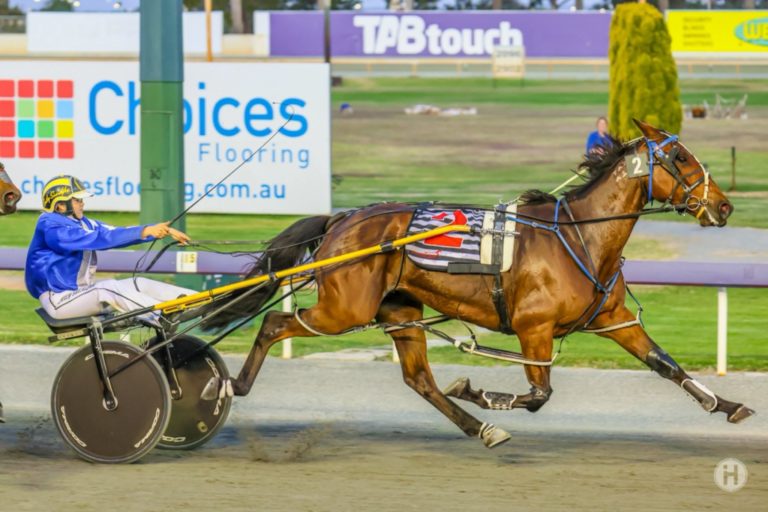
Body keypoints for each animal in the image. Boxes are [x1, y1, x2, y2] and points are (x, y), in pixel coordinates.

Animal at [200, 120, 753, 448]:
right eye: (681, 157)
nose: (724, 206)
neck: (581, 236)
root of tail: (342, 219)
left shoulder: (611, 318)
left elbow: (665, 363)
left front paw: (726, 405)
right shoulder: (534, 327)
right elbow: (539, 394)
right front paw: (478, 390)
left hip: (400, 311)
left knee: (419, 379)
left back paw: (481, 428)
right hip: (345, 310)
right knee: (276, 321)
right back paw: (229, 382)